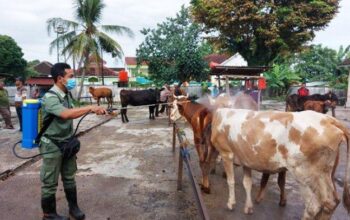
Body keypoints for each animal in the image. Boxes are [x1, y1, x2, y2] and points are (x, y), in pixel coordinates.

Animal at [209, 108, 350, 218]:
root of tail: (328, 119)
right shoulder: (246, 159)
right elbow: (247, 184)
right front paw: (248, 208)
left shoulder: (226, 153)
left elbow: (230, 181)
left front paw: (231, 204)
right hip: (324, 173)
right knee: (330, 202)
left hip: (303, 173)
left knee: (314, 206)